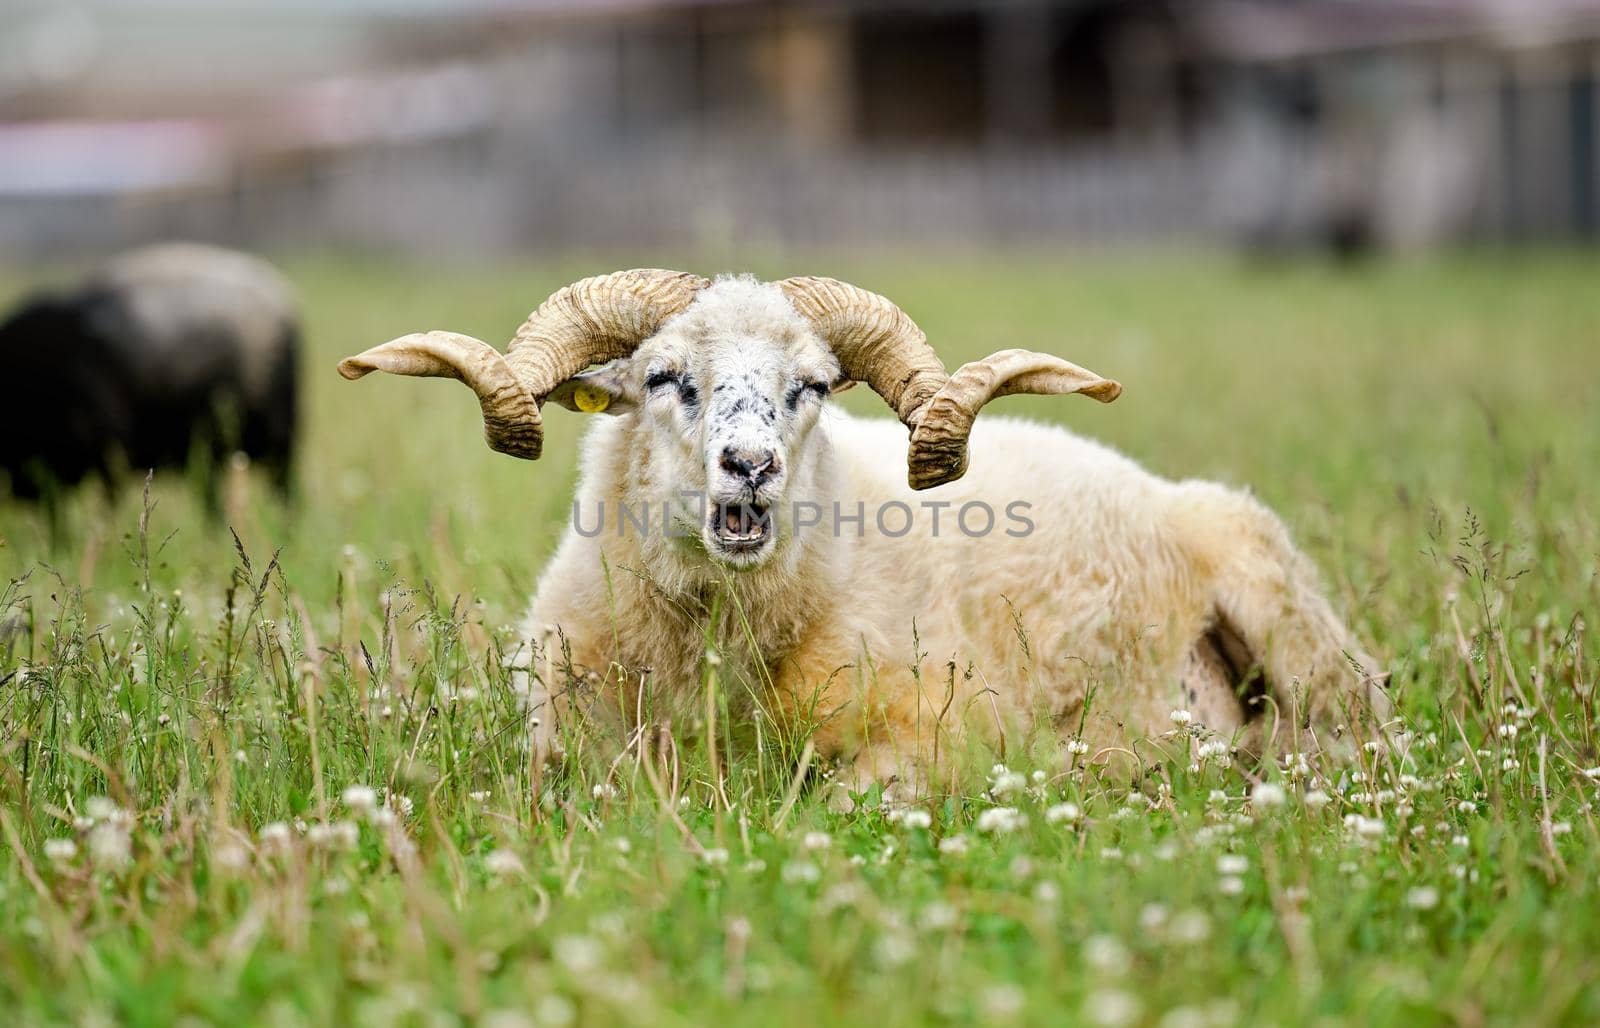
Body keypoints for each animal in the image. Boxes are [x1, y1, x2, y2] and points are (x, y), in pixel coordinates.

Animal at [340, 269, 1388, 787]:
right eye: (664, 377)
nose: (751, 467)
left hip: (1301, 636)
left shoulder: (944, 735)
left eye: (810, 385)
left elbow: (849, 796)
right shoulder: (563, 747)